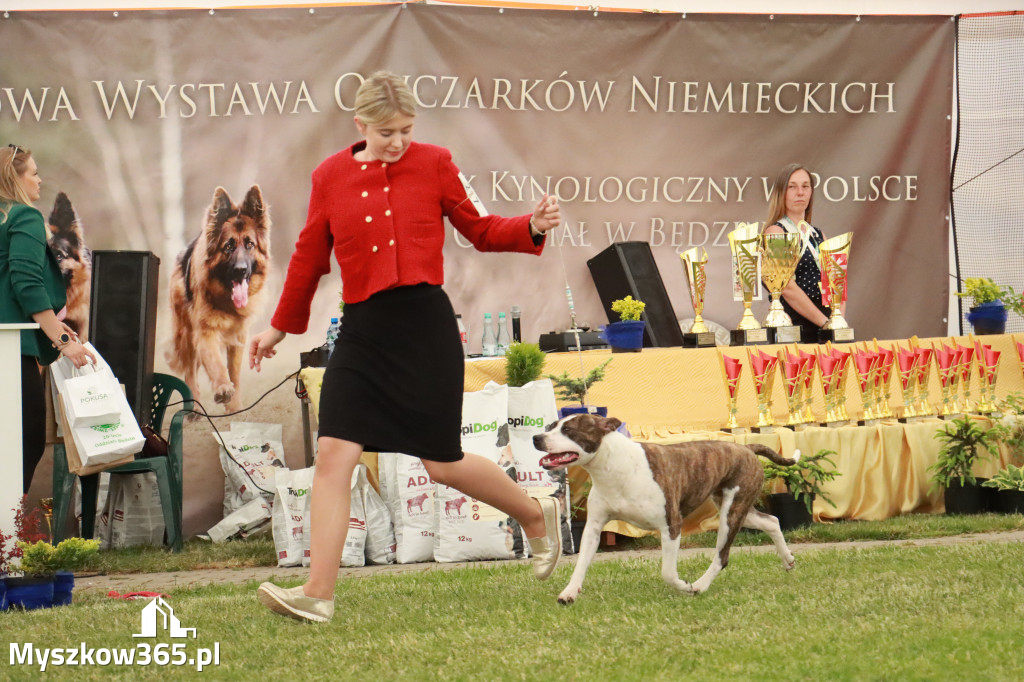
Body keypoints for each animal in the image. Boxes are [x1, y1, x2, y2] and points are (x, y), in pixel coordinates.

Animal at [536, 411, 798, 602]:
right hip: (735, 507)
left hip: (730, 515)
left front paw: (685, 586)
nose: (536, 438)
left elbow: (668, 573)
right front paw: (569, 592)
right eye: (551, 426)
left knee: (722, 557)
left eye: (569, 430)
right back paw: (788, 560)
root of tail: (746, 448)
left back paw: (700, 586)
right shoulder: (593, 528)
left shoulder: (671, 526)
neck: (613, 465)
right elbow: (581, 564)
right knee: (771, 521)